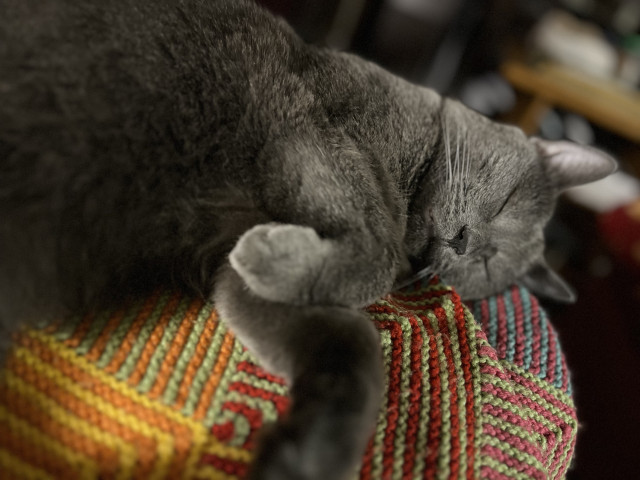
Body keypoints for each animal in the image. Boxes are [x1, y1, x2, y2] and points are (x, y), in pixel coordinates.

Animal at [1, 0, 616, 480]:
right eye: (507, 204)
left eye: (481, 270)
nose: (462, 246)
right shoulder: (313, 135)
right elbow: (373, 250)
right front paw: (271, 254)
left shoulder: (238, 283)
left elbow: (356, 345)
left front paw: (306, 456)